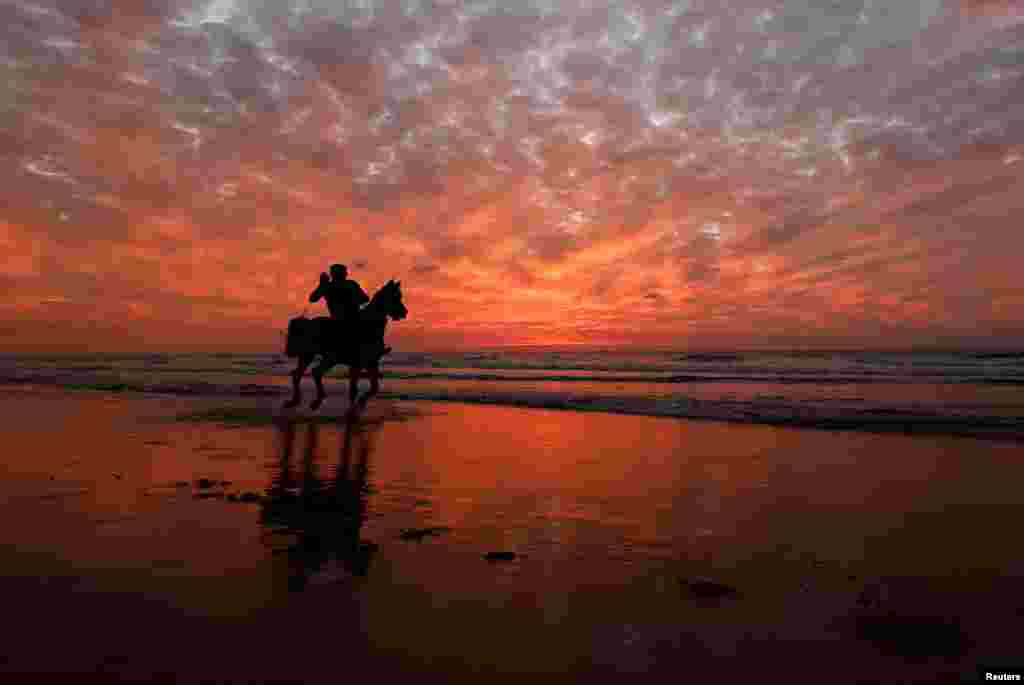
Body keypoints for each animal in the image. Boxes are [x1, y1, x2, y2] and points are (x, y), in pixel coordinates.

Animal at [284, 278, 407, 411]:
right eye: (395, 297)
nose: (405, 312)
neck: (369, 324)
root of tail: (306, 323)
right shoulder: (359, 363)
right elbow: (356, 389)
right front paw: (356, 406)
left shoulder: (371, 363)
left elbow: (372, 387)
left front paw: (360, 403)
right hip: (321, 356)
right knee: (309, 372)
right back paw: (311, 400)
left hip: (317, 357)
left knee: (303, 373)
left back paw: (300, 400)